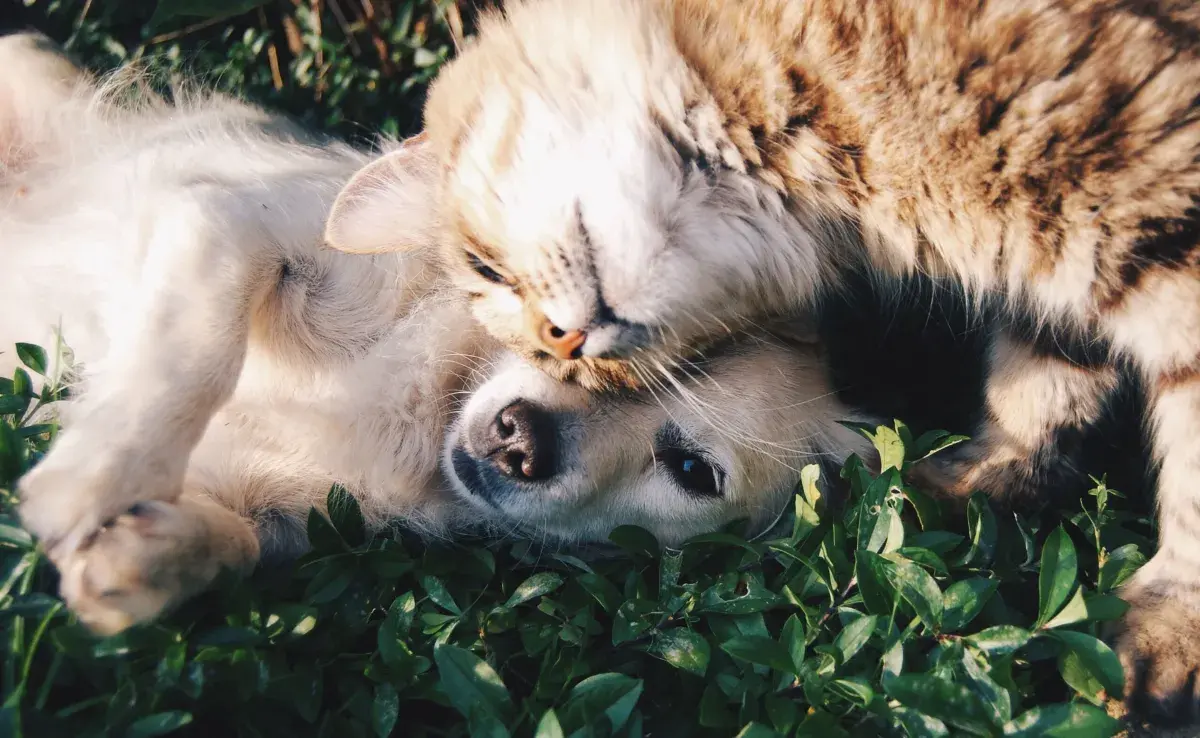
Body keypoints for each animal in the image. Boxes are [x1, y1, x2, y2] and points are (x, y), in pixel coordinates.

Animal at [324, 0, 1200, 720]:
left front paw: (1170, 634)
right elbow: (1043, 379)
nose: (565, 347)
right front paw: (982, 482)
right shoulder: (1057, 275)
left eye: (486, 270)